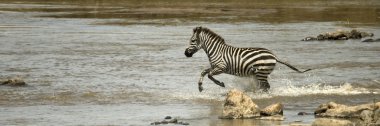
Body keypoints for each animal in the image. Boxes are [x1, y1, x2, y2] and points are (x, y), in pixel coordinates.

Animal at [184, 26, 312, 92]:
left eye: (193, 41)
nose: (185, 53)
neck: (216, 50)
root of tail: (274, 55)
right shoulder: (214, 66)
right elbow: (203, 72)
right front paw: (200, 87)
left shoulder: (221, 67)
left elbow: (210, 75)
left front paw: (221, 84)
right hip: (259, 74)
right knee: (264, 86)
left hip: (261, 73)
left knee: (266, 87)